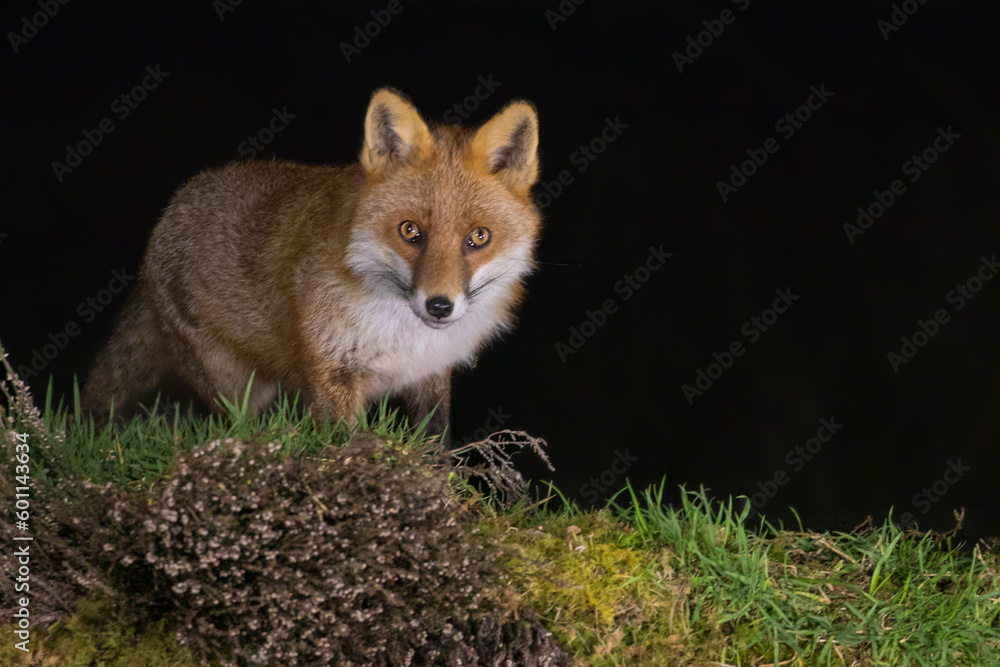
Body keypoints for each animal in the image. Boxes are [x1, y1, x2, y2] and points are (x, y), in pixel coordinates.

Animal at [80, 87, 542, 440]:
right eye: (410, 231)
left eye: (478, 238)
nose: (440, 305)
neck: (401, 335)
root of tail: (169, 213)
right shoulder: (330, 369)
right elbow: (346, 445)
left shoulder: (430, 374)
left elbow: (435, 444)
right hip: (236, 385)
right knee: (242, 424)